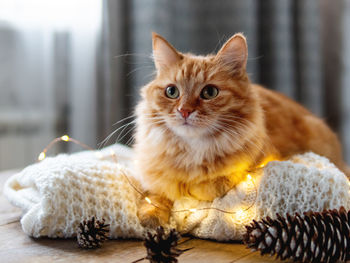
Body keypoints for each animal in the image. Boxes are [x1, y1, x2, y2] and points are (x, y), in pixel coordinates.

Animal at [133, 32, 348, 227]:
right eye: (172, 91)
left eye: (209, 92)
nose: (184, 111)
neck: (192, 151)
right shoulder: (151, 175)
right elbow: (154, 195)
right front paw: (151, 216)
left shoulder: (260, 160)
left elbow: (212, 184)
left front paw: (194, 188)